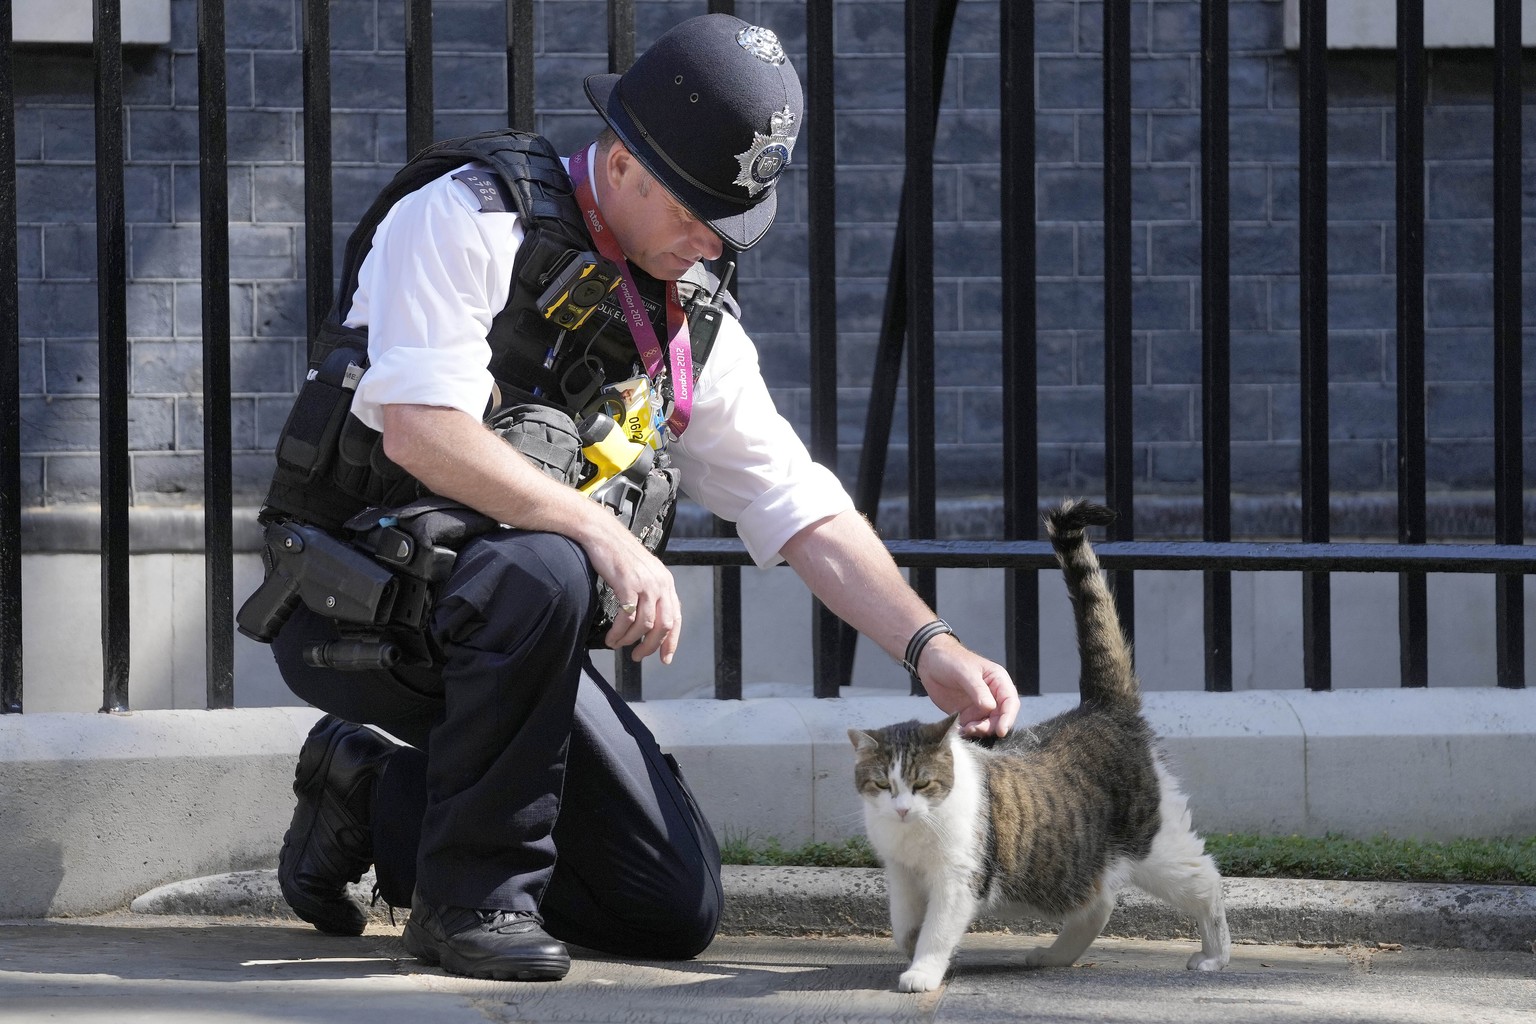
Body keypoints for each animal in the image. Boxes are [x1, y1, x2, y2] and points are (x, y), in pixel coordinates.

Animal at [847, 500, 1228, 994]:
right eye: (882, 785)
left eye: (923, 783)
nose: (902, 809)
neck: (915, 833)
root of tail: (1101, 707)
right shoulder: (902, 876)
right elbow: (904, 926)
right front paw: (915, 950)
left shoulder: (957, 879)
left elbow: (937, 929)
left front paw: (923, 971)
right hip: (1075, 859)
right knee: (1098, 903)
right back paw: (1053, 956)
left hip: (1157, 848)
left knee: (1207, 881)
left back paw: (1214, 956)